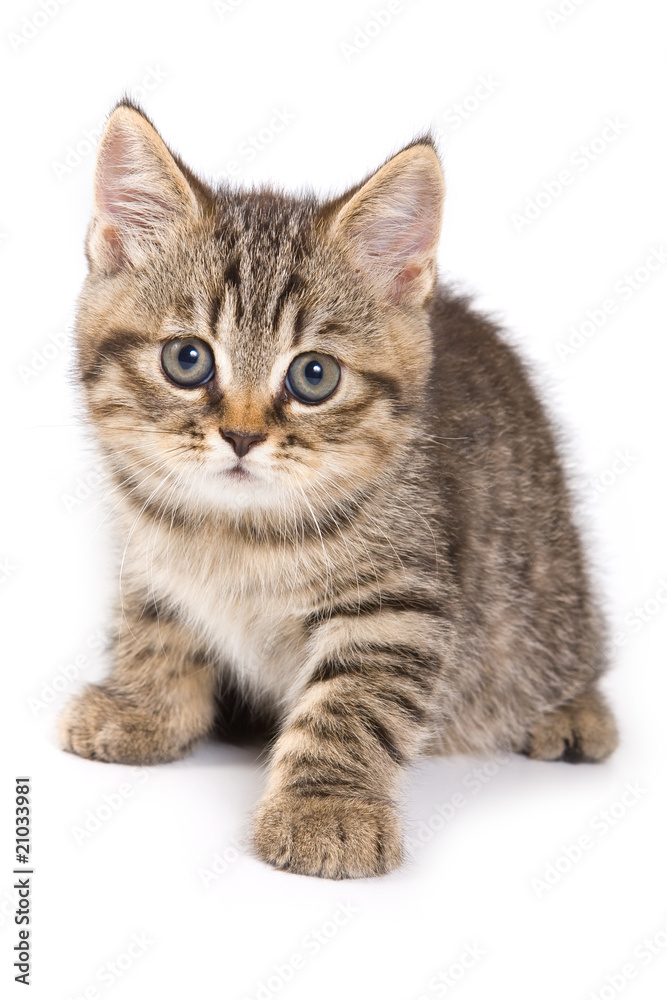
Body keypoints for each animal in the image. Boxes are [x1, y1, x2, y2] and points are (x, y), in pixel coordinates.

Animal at [60, 101, 620, 880]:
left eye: (314, 375)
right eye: (187, 359)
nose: (241, 436)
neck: (236, 531)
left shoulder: (398, 603)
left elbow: (353, 705)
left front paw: (326, 807)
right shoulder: (147, 550)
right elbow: (153, 624)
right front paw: (143, 705)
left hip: (544, 593)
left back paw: (573, 714)